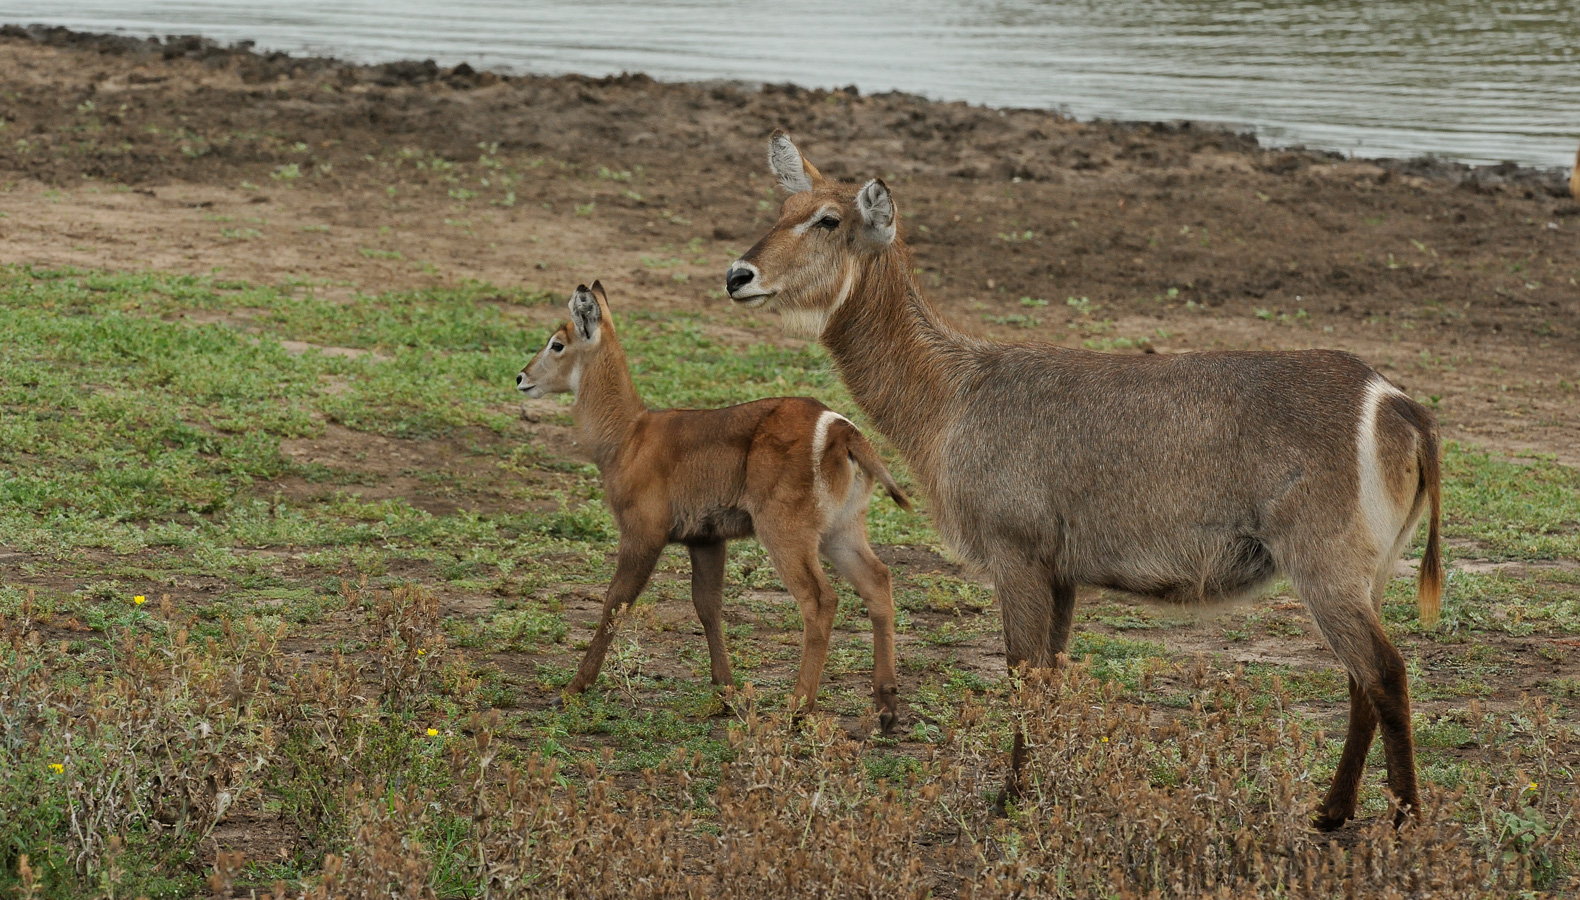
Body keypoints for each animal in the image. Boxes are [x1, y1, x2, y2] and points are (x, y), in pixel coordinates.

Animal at [518, 281, 916, 729]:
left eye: (557, 343)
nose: (521, 377)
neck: (629, 435)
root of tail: (841, 430)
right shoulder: (706, 540)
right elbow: (708, 607)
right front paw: (727, 692)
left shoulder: (642, 535)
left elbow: (615, 603)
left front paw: (572, 689)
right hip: (839, 531)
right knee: (878, 581)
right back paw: (886, 708)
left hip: (786, 532)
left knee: (821, 600)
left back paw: (796, 708)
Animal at [726, 131, 1447, 827]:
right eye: (782, 208)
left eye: (828, 219)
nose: (738, 274)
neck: (955, 394)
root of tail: (1396, 403)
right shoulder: (1062, 570)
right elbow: (1050, 675)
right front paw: (1044, 788)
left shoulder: (1015, 554)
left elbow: (1021, 672)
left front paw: (1012, 798)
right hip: (1366, 572)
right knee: (1360, 679)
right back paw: (1331, 812)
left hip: (1324, 563)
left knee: (1385, 673)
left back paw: (1404, 823)